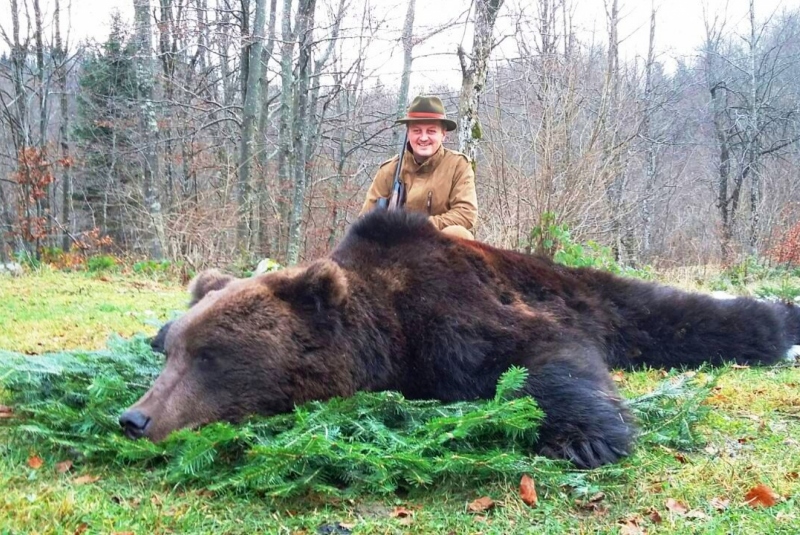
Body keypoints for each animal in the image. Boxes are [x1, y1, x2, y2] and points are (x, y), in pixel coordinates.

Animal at [120, 209, 800, 468]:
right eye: (171, 349)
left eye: (211, 355)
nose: (135, 418)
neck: (387, 332)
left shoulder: (457, 313)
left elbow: (540, 353)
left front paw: (586, 439)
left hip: (597, 295)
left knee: (679, 316)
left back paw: (782, 322)